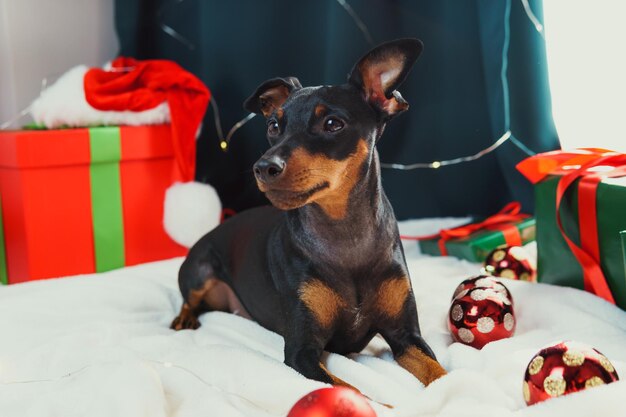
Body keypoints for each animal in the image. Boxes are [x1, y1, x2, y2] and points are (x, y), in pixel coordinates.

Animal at [171, 39, 444, 386]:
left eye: (332, 124)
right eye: (274, 126)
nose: (263, 167)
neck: (345, 234)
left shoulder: (406, 337)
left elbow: (441, 374)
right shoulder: (302, 351)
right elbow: (349, 388)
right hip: (199, 270)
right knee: (188, 299)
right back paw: (183, 318)